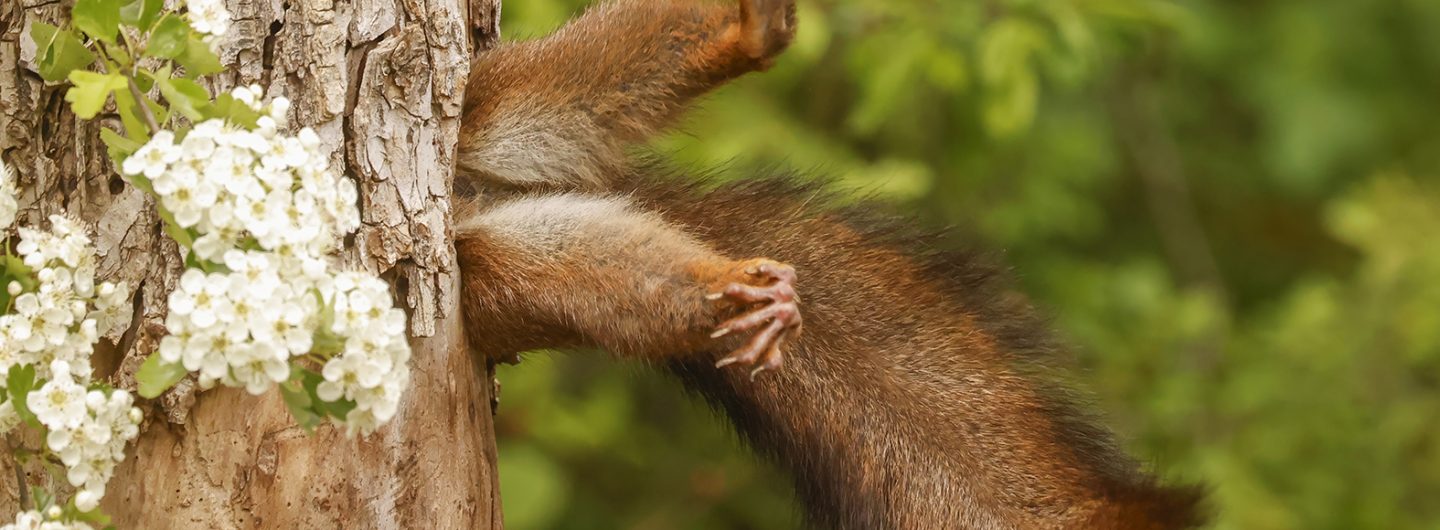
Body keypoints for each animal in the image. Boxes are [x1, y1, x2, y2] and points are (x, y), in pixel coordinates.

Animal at [449, 2, 1203, 527]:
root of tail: (476, 196)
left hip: (493, 102)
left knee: (578, 74)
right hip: (499, 277)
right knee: (599, 277)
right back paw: (734, 296)